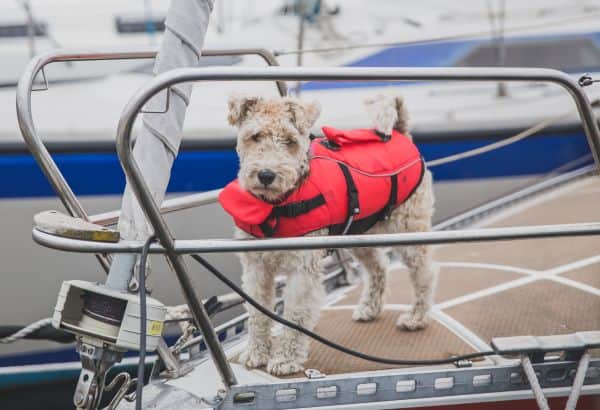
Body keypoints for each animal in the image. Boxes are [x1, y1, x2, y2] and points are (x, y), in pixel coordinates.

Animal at [220, 93, 436, 374]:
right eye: (255, 136)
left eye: (289, 140)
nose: (266, 175)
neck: (277, 206)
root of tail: (402, 133)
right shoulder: (256, 268)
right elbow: (257, 314)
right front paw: (256, 354)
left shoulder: (302, 268)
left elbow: (295, 315)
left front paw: (285, 359)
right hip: (361, 235)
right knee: (379, 268)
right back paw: (369, 308)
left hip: (410, 232)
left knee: (425, 275)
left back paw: (416, 318)